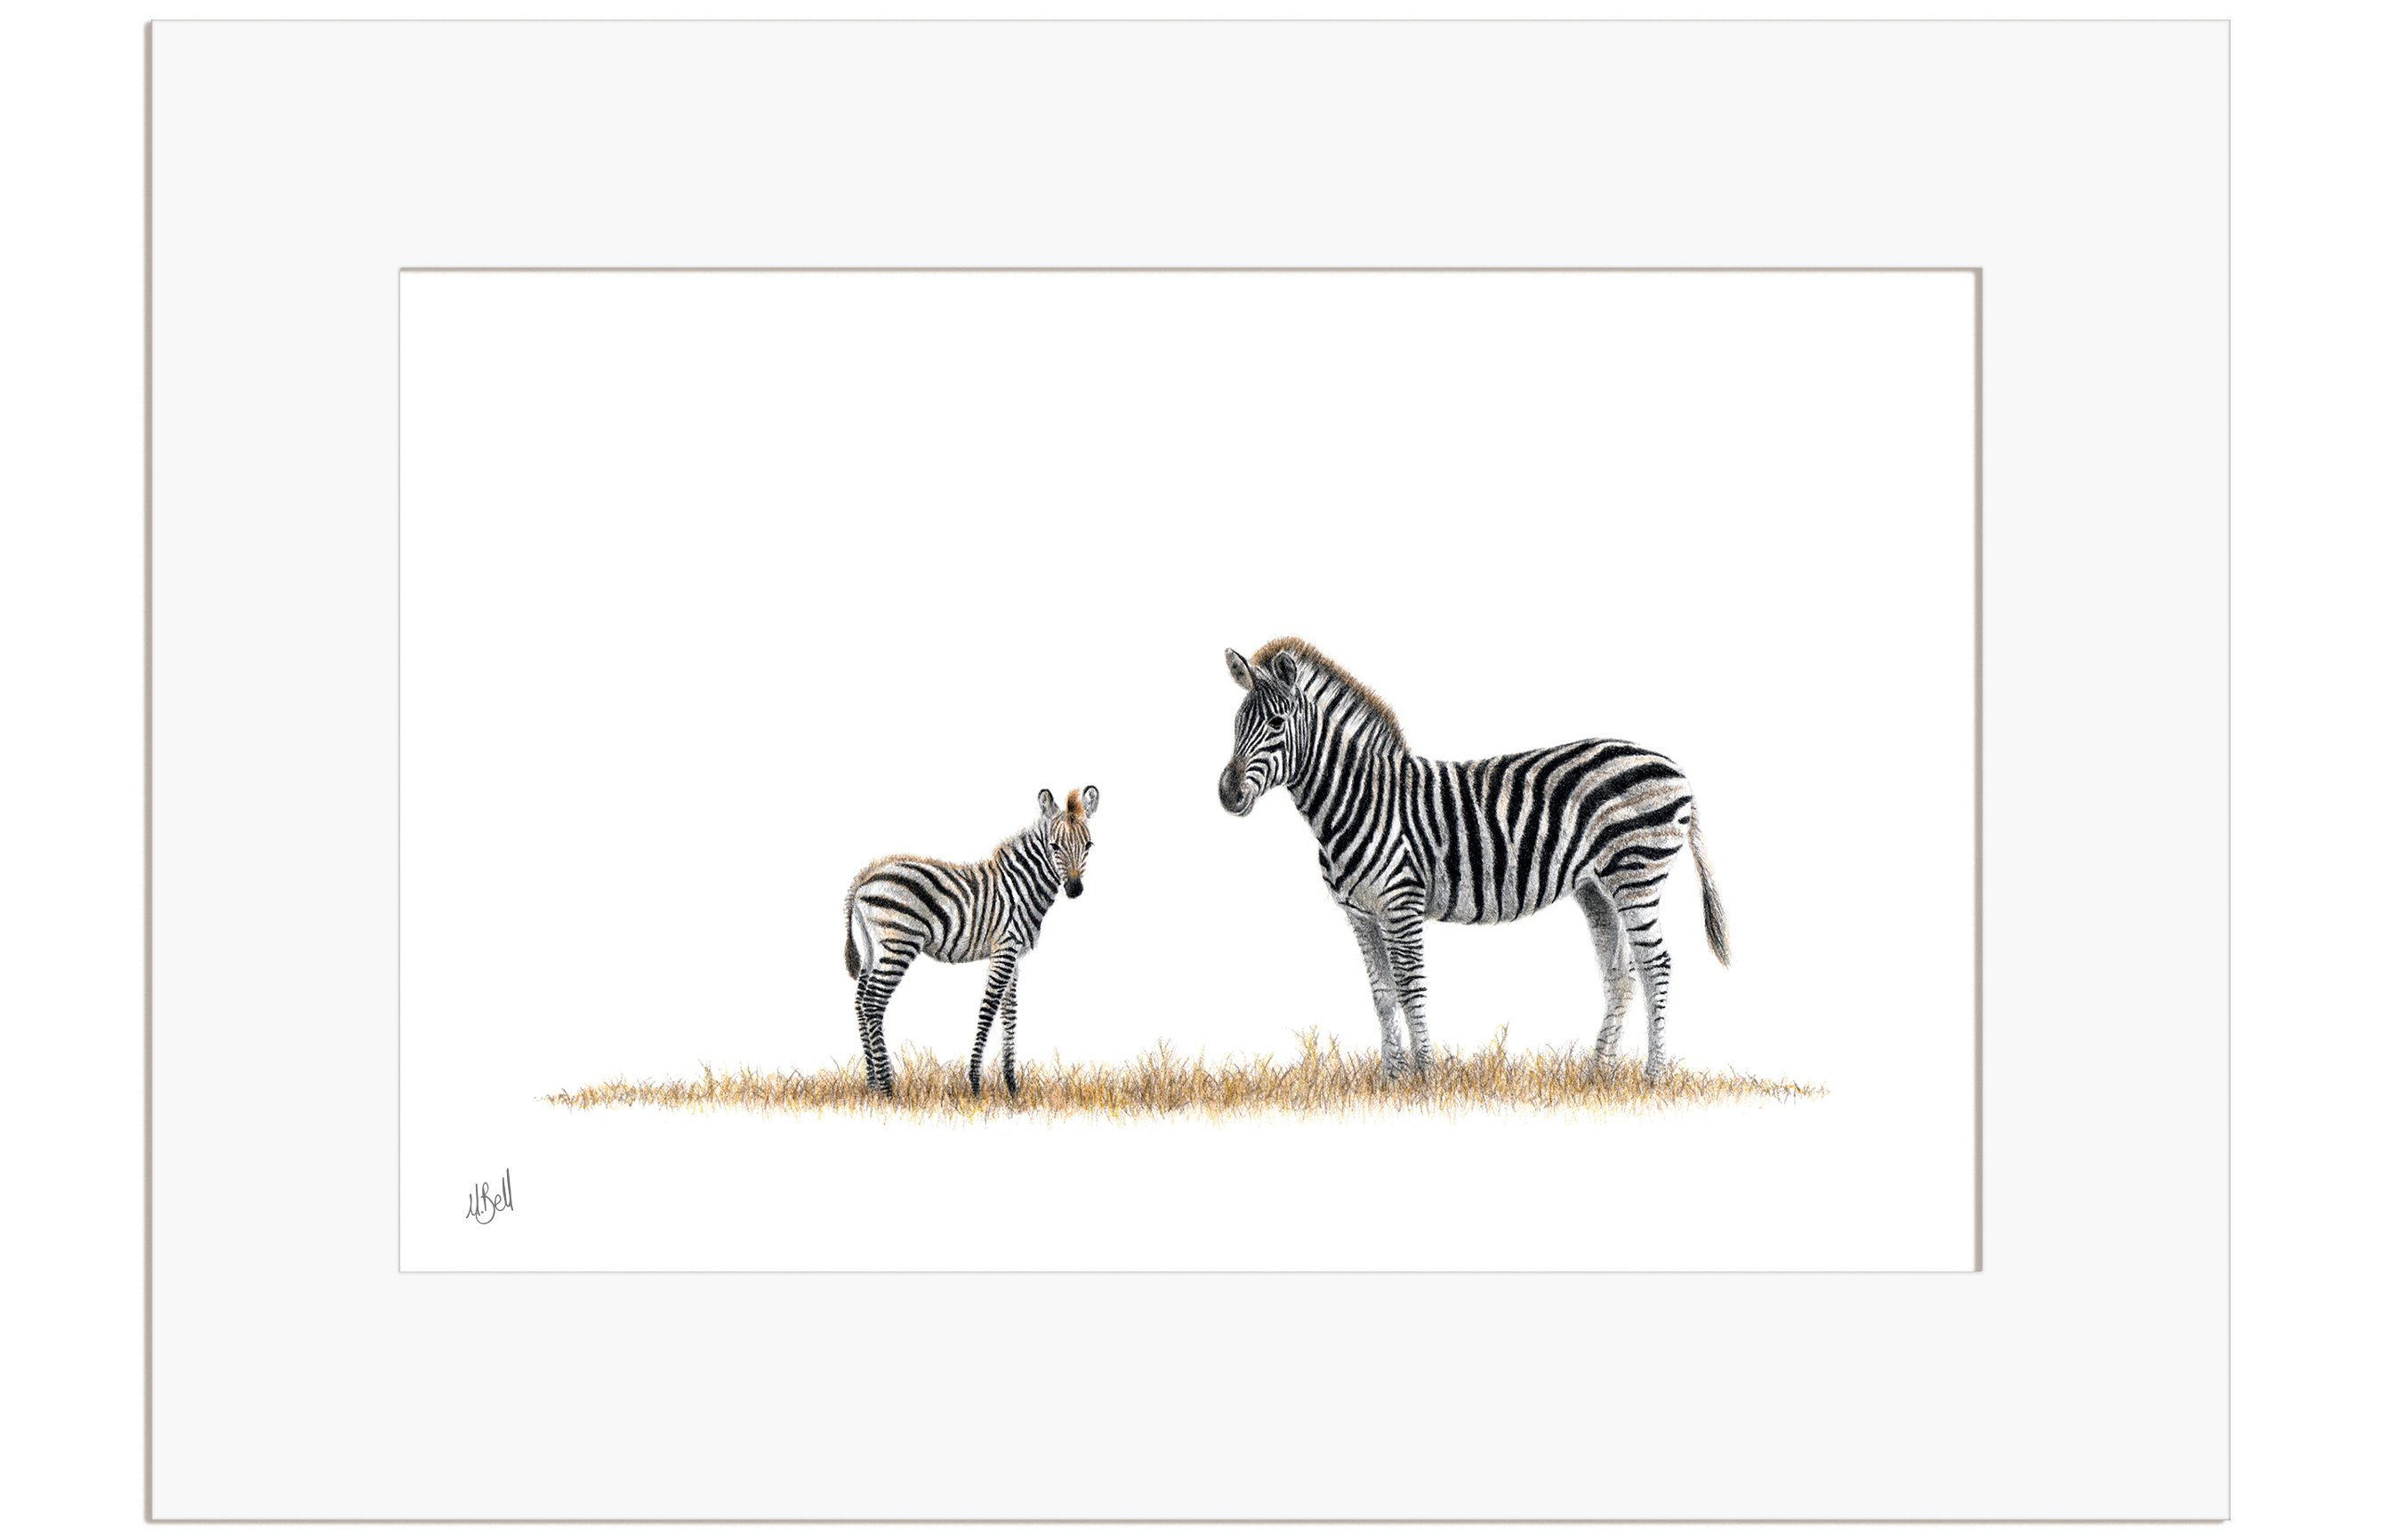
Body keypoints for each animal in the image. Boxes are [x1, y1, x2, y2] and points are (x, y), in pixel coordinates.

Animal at [843, 786, 1098, 1097]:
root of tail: (864, 880)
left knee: (859, 1004)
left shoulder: (1013, 954)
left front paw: (1011, 1086)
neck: (1022, 887)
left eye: (1088, 845)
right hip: (898, 944)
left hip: (872, 949)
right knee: (873, 1003)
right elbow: (988, 1009)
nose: (1075, 889)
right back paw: (887, 1089)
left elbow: (1010, 1014)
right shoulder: (1005, 948)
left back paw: (872, 1088)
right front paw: (975, 1084)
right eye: (1054, 846)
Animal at [1217, 639, 1728, 1083]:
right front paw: (1388, 1081)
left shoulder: (1401, 903)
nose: (1227, 794)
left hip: (1637, 874)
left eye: (1277, 724)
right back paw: (1595, 1076)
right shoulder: (1360, 914)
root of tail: (1676, 769)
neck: (1357, 800)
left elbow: (1411, 988)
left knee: (1656, 966)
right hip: (1597, 888)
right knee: (1620, 975)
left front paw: (1424, 1079)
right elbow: (1382, 996)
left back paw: (1653, 1076)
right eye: (1236, 723)